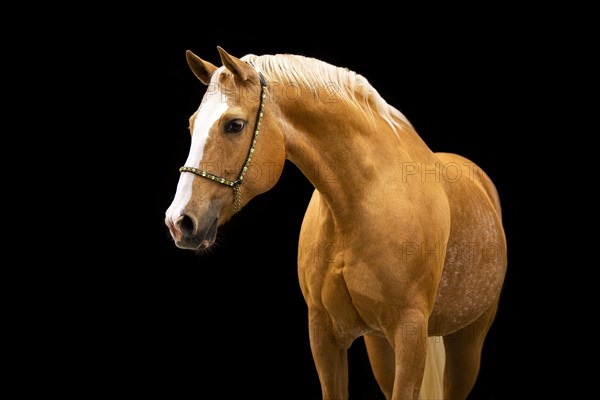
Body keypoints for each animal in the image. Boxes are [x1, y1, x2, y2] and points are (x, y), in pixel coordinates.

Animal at [164, 47, 506, 400]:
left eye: (234, 125)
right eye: (192, 125)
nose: (179, 221)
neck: (360, 204)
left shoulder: (410, 334)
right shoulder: (324, 335)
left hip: (468, 338)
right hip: (380, 344)